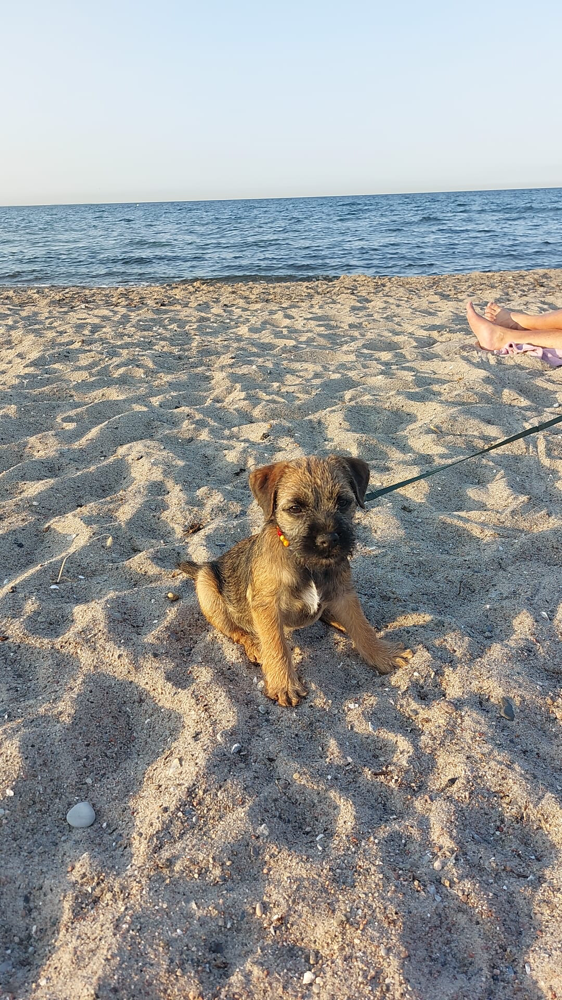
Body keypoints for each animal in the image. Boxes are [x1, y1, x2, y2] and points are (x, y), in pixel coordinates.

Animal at [180, 458, 412, 708]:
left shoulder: (344, 593)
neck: (306, 563)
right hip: (207, 587)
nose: (329, 540)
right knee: (236, 630)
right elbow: (277, 646)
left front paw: (383, 654)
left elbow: (362, 626)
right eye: (295, 508)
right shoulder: (267, 606)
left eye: (342, 501)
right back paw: (255, 646)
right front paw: (284, 684)